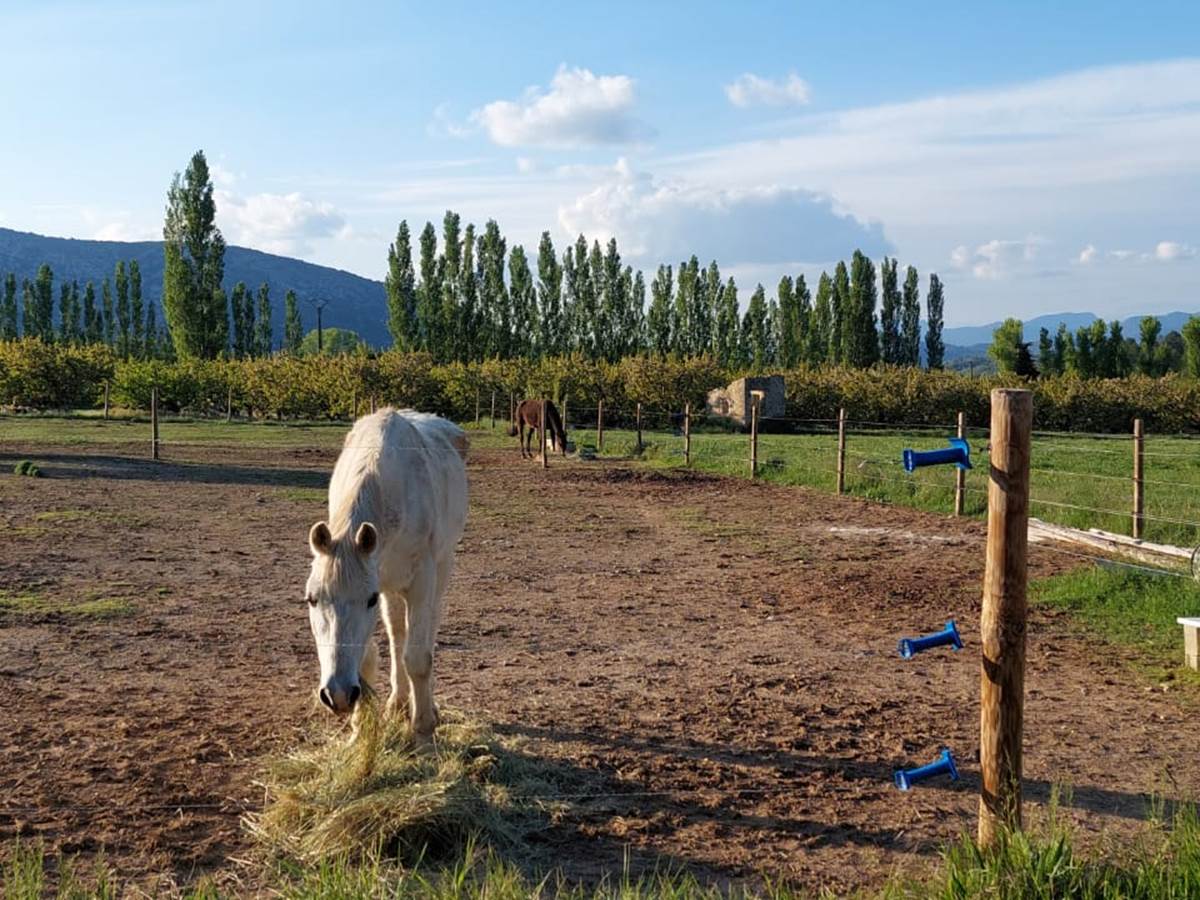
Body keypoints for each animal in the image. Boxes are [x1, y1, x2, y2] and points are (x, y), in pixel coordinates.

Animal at [304, 407, 469, 742]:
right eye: (312, 599)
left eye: (368, 600)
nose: (337, 695)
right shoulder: (378, 576)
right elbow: (369, 657)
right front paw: (359, 730)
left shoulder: (420, 581)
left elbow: (418, 657)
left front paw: (423, 727)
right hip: (392, 583)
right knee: (396, 633)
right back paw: (398, 701)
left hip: (441, 567)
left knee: (428, 628)